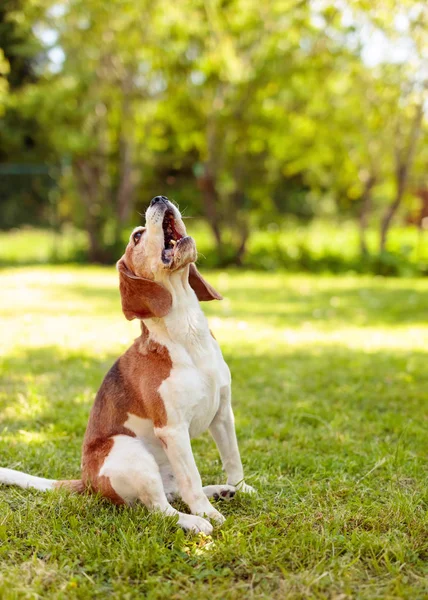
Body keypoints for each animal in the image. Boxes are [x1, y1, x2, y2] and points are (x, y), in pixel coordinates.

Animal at [0, 197, 254, 536]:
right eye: (137, 236)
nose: (158, 199)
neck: (189, 334)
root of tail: (88, 483)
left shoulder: (223, 413)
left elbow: (232, 458)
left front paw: (240, 486)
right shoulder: (173, 429)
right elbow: (191, 479)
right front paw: (207, 513)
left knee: (173, 493)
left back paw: (223, 491)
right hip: (130, 451)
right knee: (162, 509)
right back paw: (196, 519)